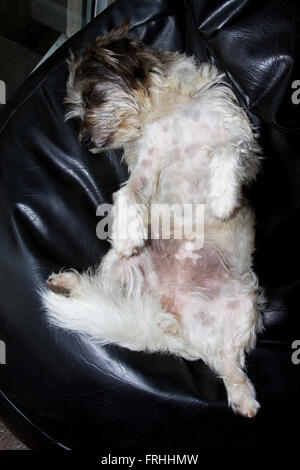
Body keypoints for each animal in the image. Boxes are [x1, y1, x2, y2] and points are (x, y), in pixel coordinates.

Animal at [41, 21, 262, 418]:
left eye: (92, 96)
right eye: (76, 111)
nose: (84, 142)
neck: (163, 109)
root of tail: (172, 310)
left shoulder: (242, 143)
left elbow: (226, 152)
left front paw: (222, 199)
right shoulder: (148, 165)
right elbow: (128, 194)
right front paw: (127, 232)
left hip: (244, 307)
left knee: (228, 363)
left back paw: (243, 396)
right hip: (120, 269)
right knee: (104, 291)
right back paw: (70, 285)